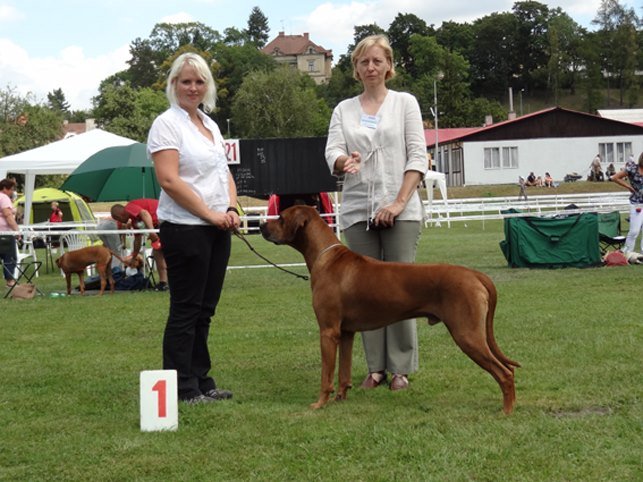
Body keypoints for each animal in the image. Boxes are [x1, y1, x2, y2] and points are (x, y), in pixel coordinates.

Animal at [260, 206, 520, 414]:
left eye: (280, 217)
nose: (261, 225)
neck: (326, 256)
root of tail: (475, 274)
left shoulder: (328, 331)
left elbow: (326, 375)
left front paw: (320, 403)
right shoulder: (346, 333)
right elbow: (344, 372)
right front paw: (340, 398)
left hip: (467, 334)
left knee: (505, 373)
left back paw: (506, 410)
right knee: (508, 369)